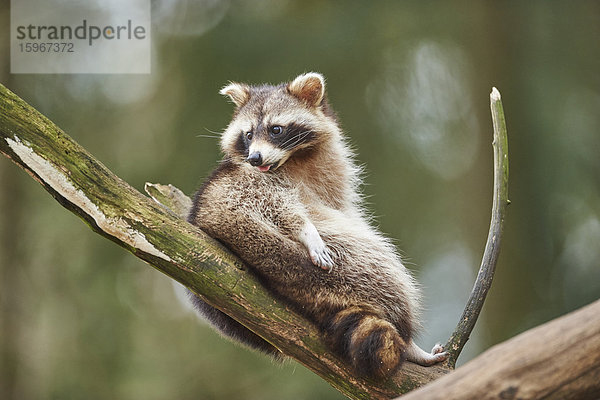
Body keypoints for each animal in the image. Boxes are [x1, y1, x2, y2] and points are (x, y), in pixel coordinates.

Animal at [188, 72, 446, 378]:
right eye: (248, 134)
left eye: (276, 129)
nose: (254, 157)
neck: (295, 158)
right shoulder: (246, 180)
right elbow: (277, 202)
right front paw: (305, 229)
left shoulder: (332, 170)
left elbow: (343, 206)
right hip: (339, 263)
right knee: (381, 267)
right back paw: (409, 342)